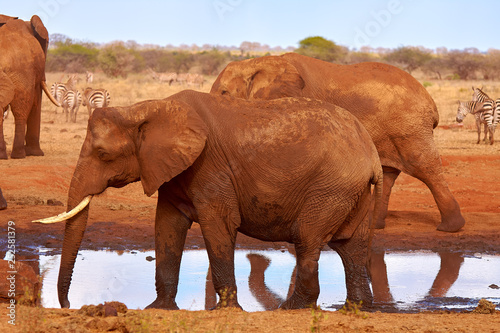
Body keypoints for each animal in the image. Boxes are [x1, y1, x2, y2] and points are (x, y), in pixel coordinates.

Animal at [0, 15, 59, 160]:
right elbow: (36, 100)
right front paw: (36, 154)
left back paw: (6, 155)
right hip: (22, 72)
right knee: (22, 108)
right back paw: (20, 155)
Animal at [36, 90, 382, 308]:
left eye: (103, 154)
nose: (67, 305)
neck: (147, 108)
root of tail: (372, 153)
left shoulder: (209, 166)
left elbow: (219, 226)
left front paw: (226, 311)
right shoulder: (172, 170)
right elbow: (167, 227)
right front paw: (158, 308)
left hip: (331, 187)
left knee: (308, 240)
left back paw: (293, 309)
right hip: (352, 190)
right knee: (351, 246)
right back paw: (356, 307)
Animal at [210, 52, 464, 233]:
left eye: (224, 93)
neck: (256, 62)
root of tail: (431, 102)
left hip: (409, 127)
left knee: (425, 167)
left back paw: (450, 228)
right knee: (389, 173)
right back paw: (374, 225)